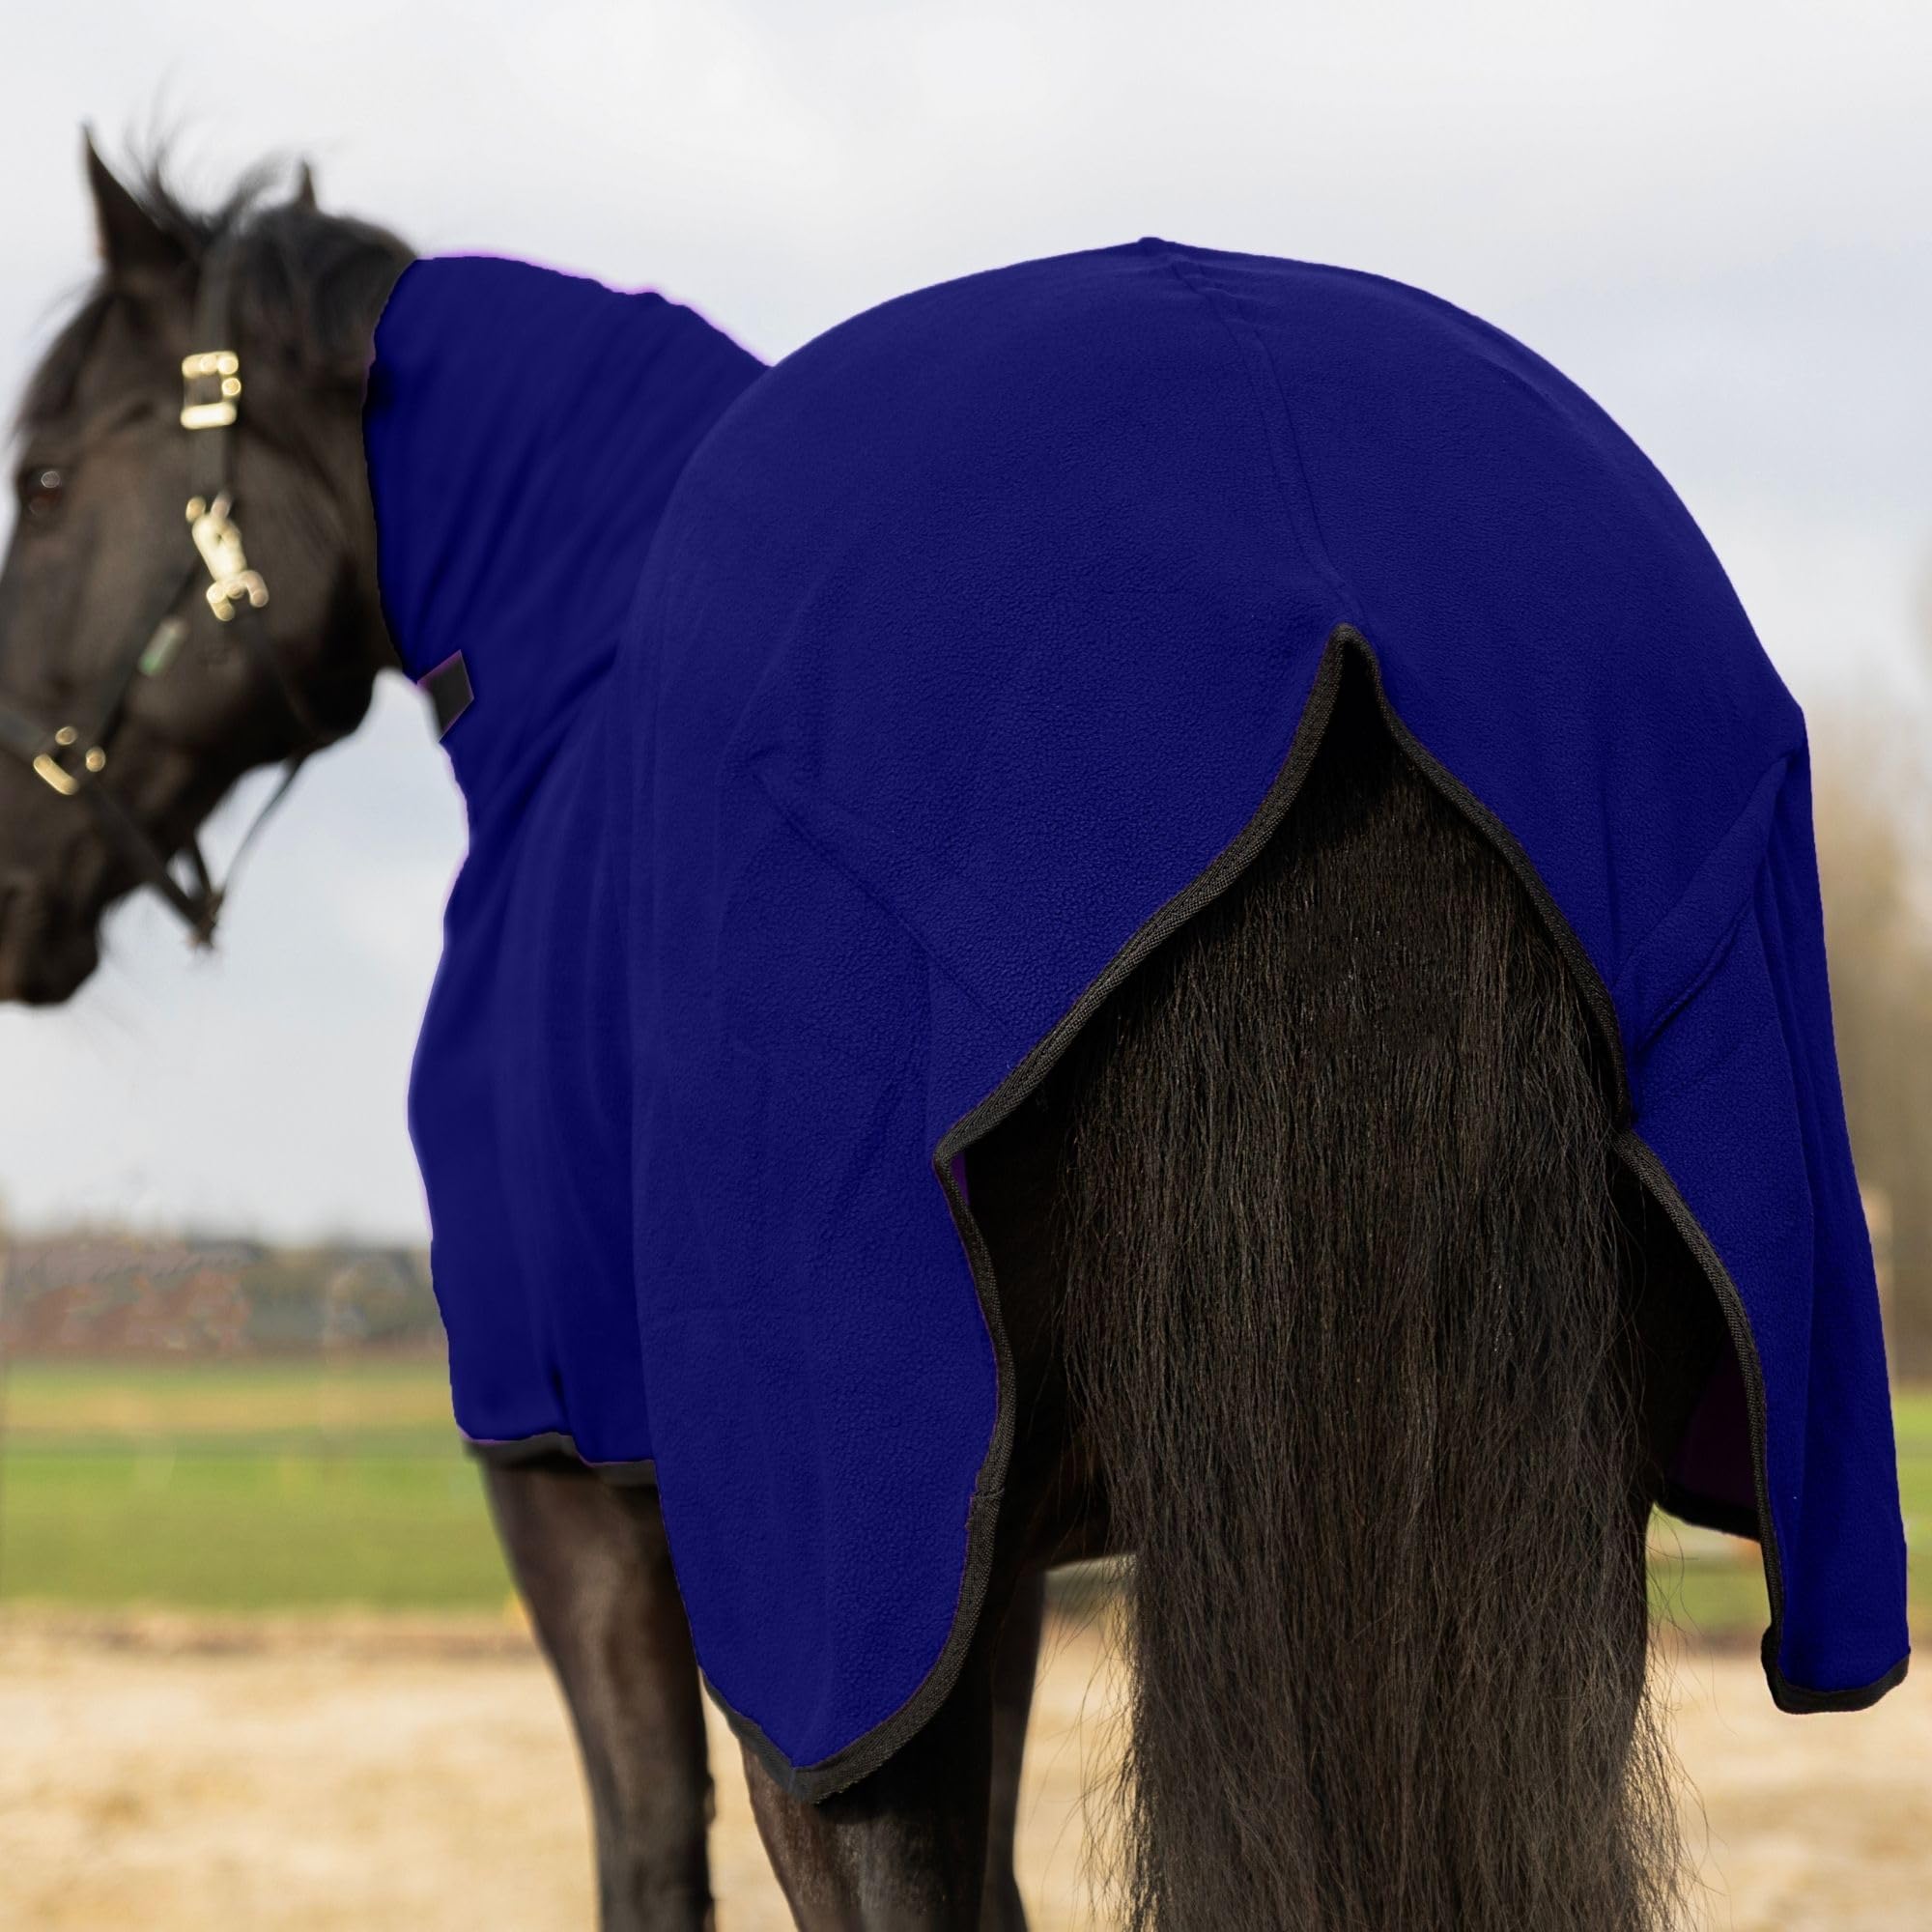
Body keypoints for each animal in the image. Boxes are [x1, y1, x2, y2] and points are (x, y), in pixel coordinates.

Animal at [0, 146, 1904, 1932]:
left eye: (41, 478)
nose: (16, 886)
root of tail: (1327, 595)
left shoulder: (603, 1494)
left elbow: (651, 1857)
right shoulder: (980, 1575)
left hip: (833, 1597)